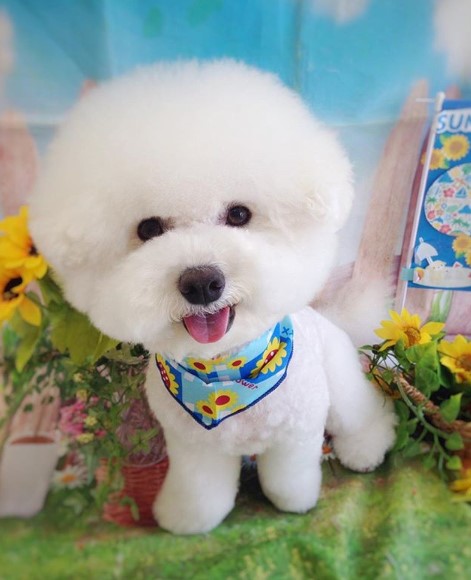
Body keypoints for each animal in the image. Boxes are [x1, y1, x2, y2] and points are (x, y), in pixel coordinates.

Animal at [29, 60, 396, 536]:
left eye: (239, 214)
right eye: (148, 229)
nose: (202, 282)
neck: (223, 373)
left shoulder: (297, 431)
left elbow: (288, 476)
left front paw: (295, 502)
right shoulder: (191, 447)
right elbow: (200, 490)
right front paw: (187, 520)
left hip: (341, 379)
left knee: (362, 412)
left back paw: (366, 447)